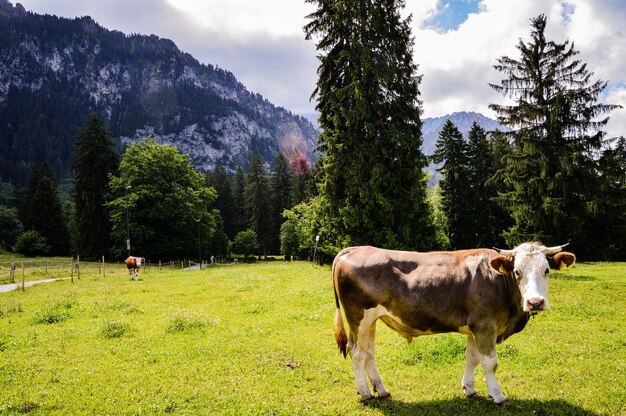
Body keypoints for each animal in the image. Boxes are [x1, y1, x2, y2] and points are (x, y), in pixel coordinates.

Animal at [334, 244, 572, 404]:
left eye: (547, 270)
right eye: (517, 272)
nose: (535, 302)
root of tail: (354, 249)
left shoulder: (474, 328)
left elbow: (472, 358)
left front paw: (470, 389)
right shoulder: (485, 326)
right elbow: (490, 363)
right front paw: (497, 395)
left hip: (370, 321)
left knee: (369, 353)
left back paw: (381, 389)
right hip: (359, 316)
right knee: (357, 352)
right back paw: (366, 393)